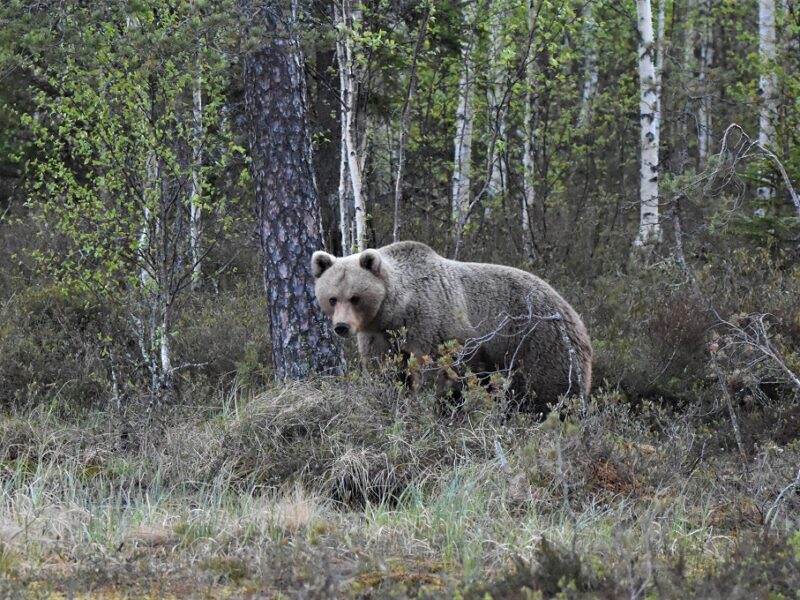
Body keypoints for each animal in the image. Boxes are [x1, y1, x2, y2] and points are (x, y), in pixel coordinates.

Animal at [310, 241, 592, 410]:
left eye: (355, 297)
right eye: (332, 298)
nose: (342, 327)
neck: (397, 311)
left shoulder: (432, 322)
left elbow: (437, 370)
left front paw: (432, 403)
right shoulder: (378, 334)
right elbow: (384, 369)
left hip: (538, 340)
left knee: (550, 388)